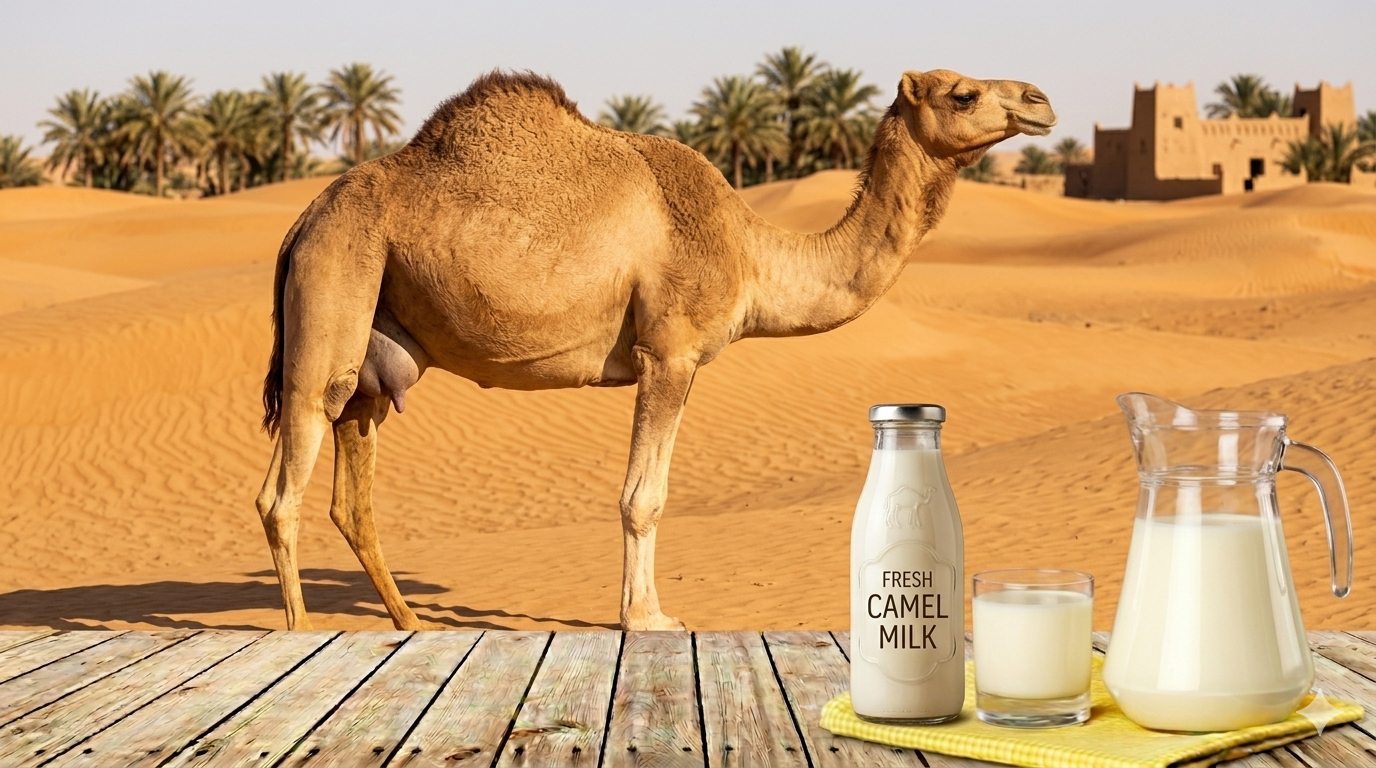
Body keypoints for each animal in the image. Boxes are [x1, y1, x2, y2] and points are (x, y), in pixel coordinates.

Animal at [257, 68, 1055, 631]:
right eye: (963, 93)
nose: (1040, 100)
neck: (750, 250)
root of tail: (300, 222)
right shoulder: (670, 352)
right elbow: (645, 498)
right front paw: (648, 618)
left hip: (378, 340)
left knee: (351, 489)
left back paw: (410, 621)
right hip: (335, 281)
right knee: (283, 483)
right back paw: (300, 632)